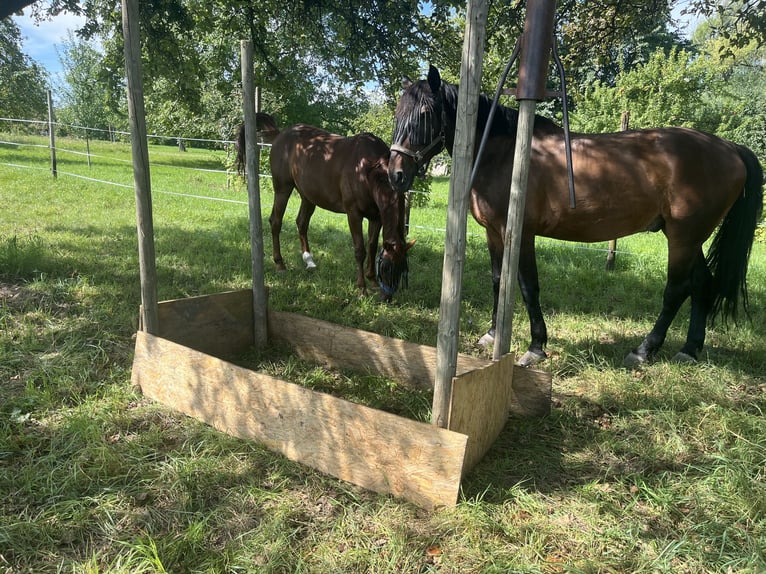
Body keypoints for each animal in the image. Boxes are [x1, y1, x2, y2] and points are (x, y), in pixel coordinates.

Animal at [237, 113, 414, 302]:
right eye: (386, 267)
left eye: (403, 269)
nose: (387, 297)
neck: (368, 170)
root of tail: (280, 135)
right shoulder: (353, 214)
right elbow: (360, 250)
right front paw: (361, 289)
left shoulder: (376, 217)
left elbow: (372, 247)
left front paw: (372, 281)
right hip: (282, 189)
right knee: (276, 222)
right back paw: (280, 264)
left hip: (308, 196)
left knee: (301, 223)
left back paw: (309, 260)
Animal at [392, 65, 764, 366]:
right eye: (397, 113)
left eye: (424, 113)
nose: (396, 175)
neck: (505, 153)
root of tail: (730, 149)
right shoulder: (494, 233)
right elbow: (498, 280)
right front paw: (492, 334)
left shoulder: (522, 234)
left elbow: (527, 287)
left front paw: (536, 347)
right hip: (690, 237)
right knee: (702, 284)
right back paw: (689, 350)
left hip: (682, 237)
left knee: (676, 289)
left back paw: (644, 351)